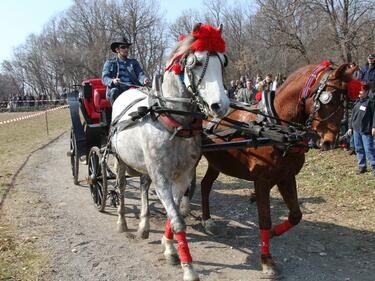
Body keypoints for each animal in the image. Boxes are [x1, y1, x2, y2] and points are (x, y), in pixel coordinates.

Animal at [110, 23, 231, 278]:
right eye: (196, 62)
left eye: (223, 62)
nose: (221, 105)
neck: (174, 122)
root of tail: (126, 92)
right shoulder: (162, 177)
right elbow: (177, 221)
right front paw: (189, 268)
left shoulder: (182, 176)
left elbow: (173, 213)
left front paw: (169, 248)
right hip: (120, 161)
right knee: (122, 189)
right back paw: (122, 222)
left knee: (143, 187)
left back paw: (144, 226)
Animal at [200, 63, 358, 278]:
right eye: (329, 99)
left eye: (346, 103)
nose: (330, 142)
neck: (276, 127)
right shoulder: (262, 181)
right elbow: (264, 219)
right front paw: (267, 261)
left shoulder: (286, 177)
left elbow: (296, 215)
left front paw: (275, 232)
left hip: (216, 163)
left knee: (205, 185)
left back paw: (207, 220)